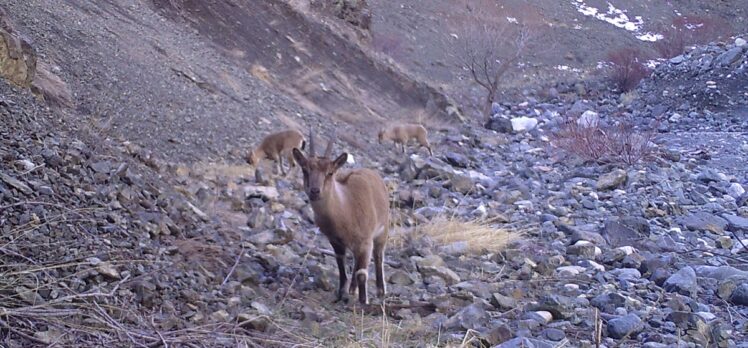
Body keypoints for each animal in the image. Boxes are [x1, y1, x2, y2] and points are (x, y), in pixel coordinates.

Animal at [292, 129, 392, 304]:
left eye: (330, 172)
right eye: (305, 170)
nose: (315, 191)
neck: (345, 210)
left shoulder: (365, 241)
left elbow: (362, 273)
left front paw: (363, 302)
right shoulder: (336, 241)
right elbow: (341, 266)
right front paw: (341, 293)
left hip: (382, 230)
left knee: (378, 256)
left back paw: (380, 291)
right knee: (356, 261)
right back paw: (352, 289)